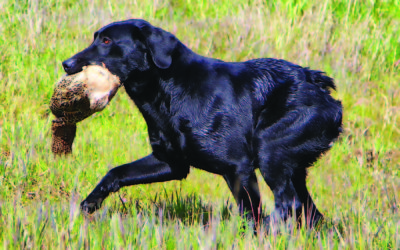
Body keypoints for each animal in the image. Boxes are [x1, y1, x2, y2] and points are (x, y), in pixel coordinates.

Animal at [63, 19, 344, 227]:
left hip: (270, 151)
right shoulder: (171, 162)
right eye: (95, 38)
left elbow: (250, 213)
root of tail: (317, 83)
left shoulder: (238, 168)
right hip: (292, 168)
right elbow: (115, 172)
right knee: (309, 210)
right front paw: (89, 203)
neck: (170, 90)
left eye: (107, 41)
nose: (66, 64)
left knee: (289, 204)